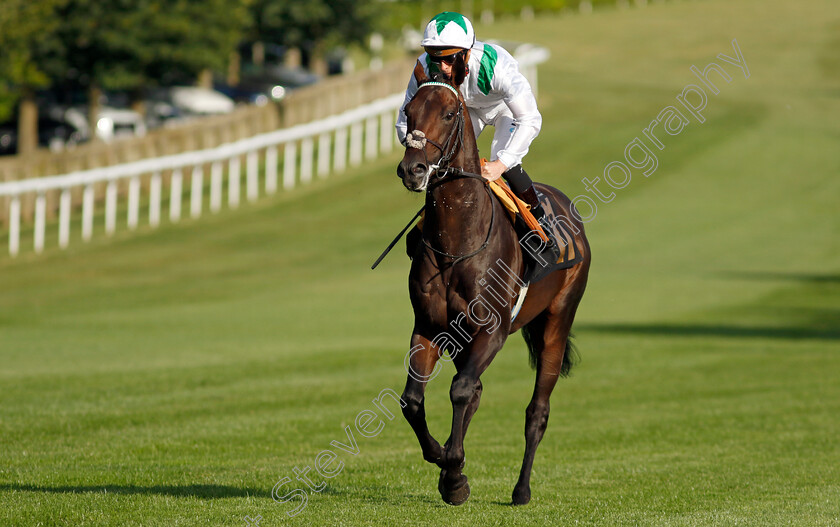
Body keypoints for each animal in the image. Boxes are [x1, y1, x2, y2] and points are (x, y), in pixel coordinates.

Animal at [394, 58, 592, 508]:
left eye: (449, 114)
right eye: (409, 113)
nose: (413, 170)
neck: (457, 241)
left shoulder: (492, 330)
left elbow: (461, 390)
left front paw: (453, 473)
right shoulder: (429, 327)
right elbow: (413, 401)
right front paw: (446, 463)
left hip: (557, 321)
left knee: (536, 411)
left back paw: (521, 490)